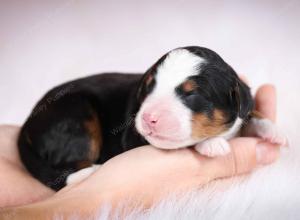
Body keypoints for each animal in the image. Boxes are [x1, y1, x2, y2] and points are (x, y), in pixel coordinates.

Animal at [17, 46, 286, 191]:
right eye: (148, 88)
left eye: (192, 94)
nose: (148, 118)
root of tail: (28, 123)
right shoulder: (132, 138)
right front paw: (211, 143)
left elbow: (249, 111)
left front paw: (272, 129)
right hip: (77, 114)